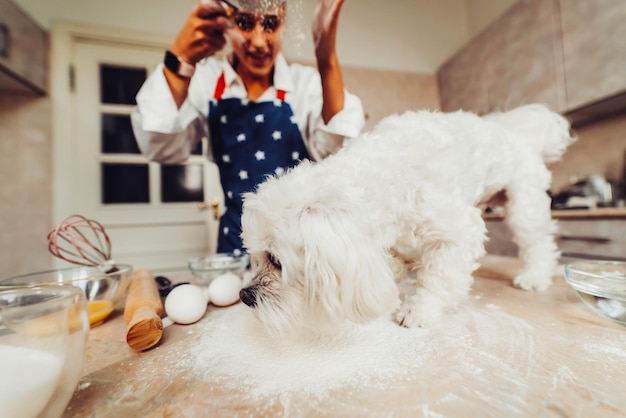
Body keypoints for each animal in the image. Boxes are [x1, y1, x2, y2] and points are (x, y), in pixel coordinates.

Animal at [239, 105, 576, 336]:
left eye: (276, 261)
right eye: (254, 257)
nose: (244, 296)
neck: (381, 179)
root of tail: (517, 131)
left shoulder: (458, 232)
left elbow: (437, 278)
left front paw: (418, 310)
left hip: (524, 205)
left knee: (538, 244)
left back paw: (534, 276)